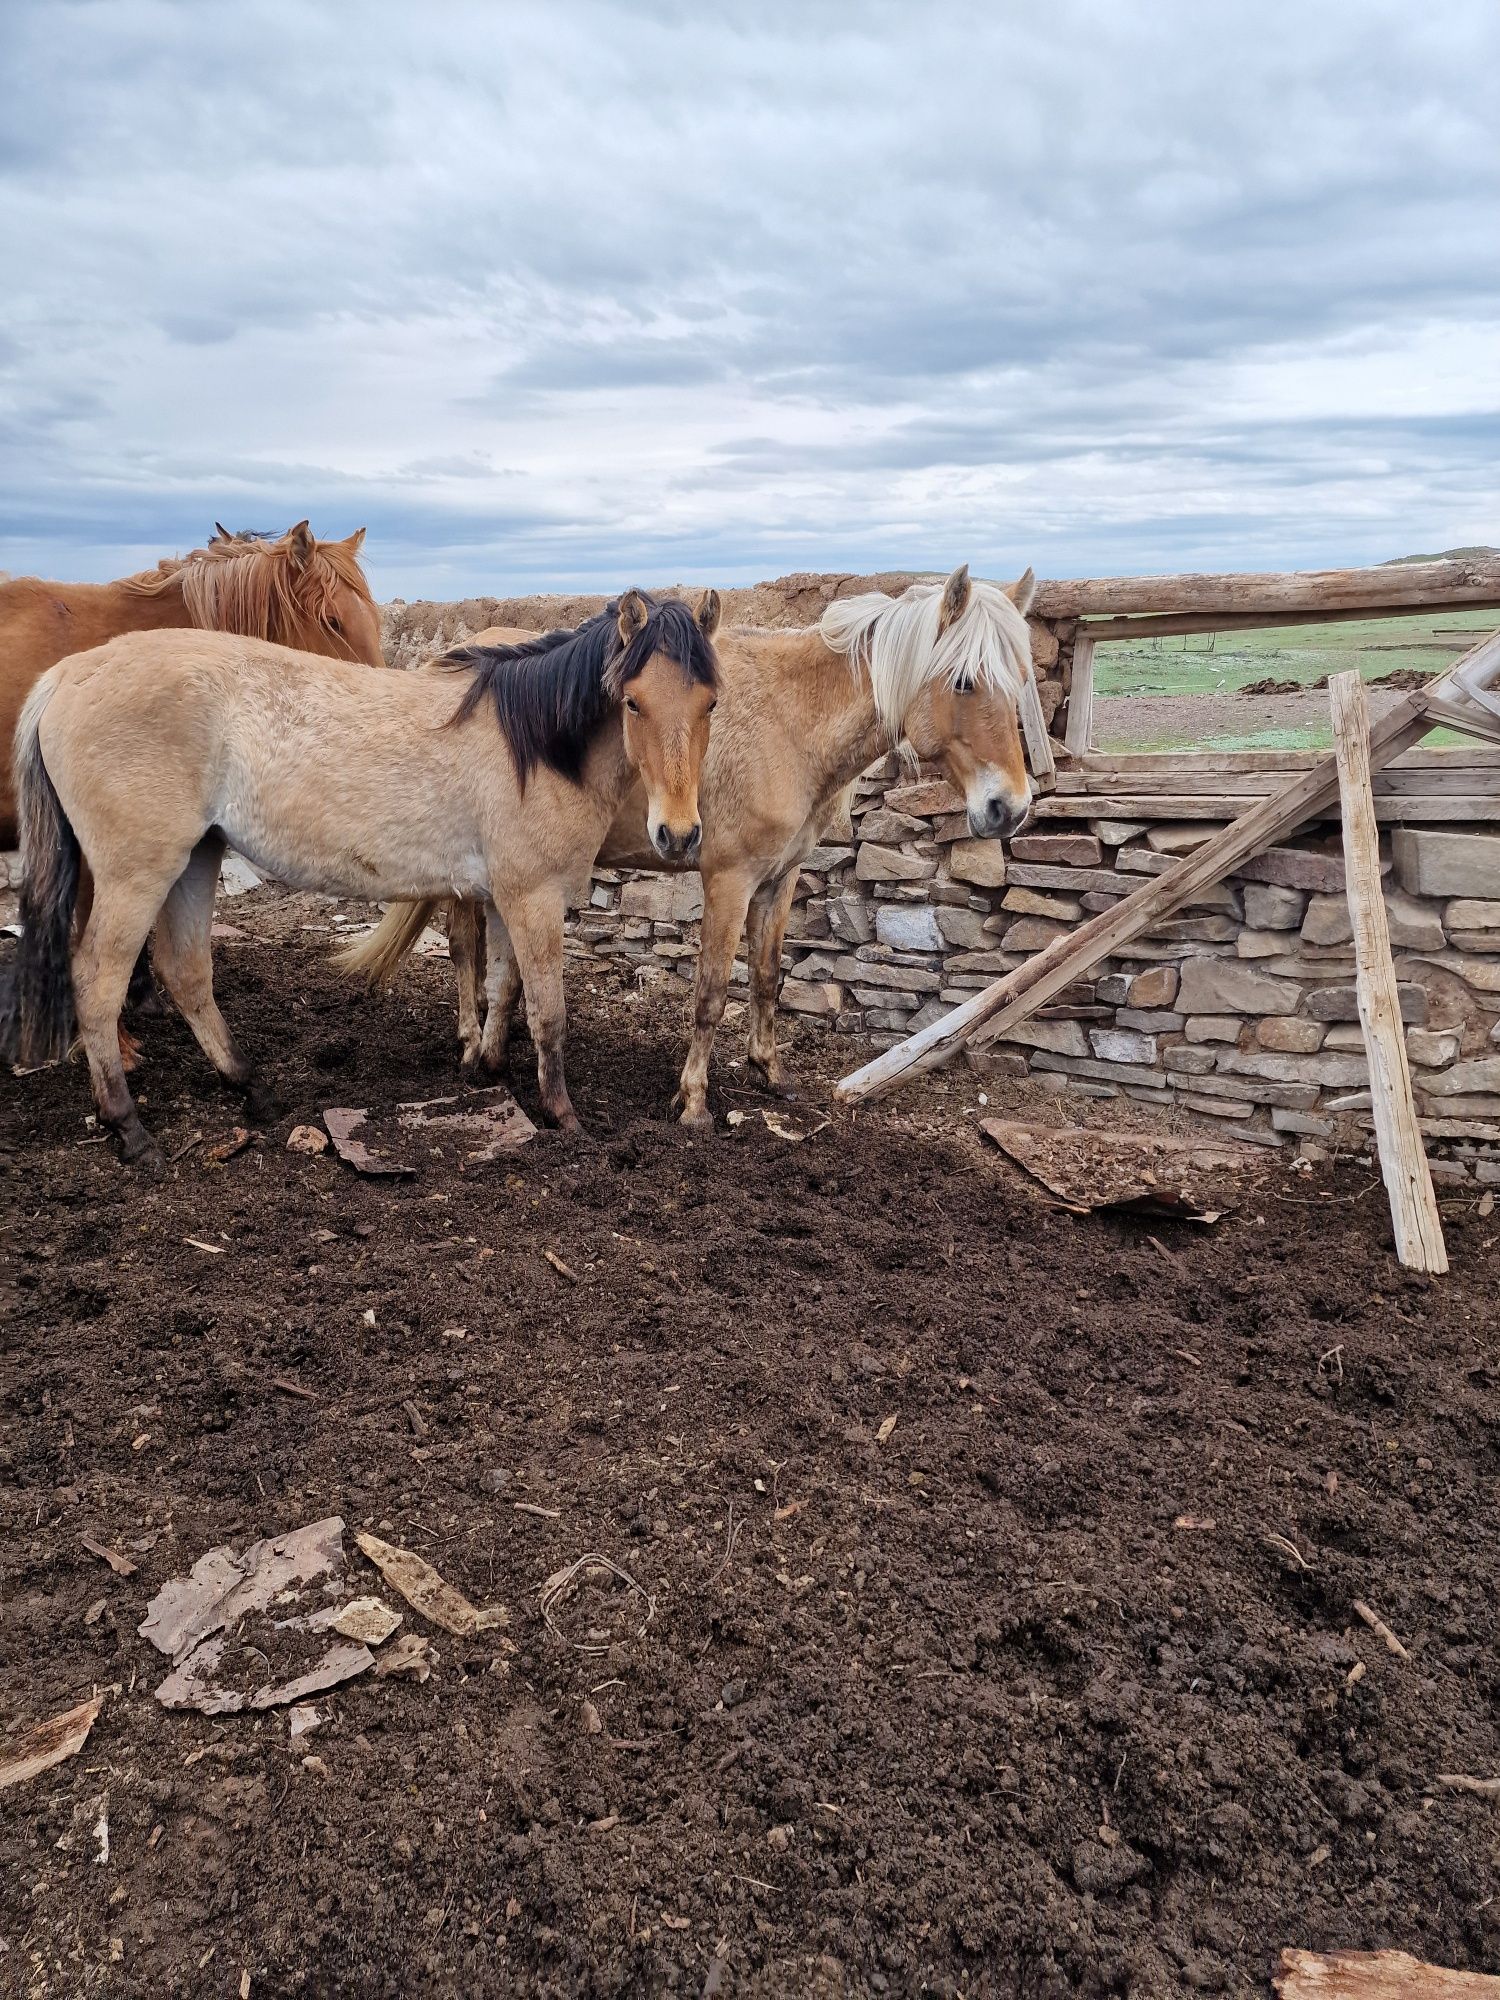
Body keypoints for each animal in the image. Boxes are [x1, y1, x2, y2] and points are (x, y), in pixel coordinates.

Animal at [346, 564, 1040, 1128]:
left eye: (1019, 679)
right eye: (964, 681)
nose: (1009, 807)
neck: (790, 721)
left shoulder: (780, 879)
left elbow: (766, 977)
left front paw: (770, 1071)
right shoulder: (728, 879)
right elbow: (710, 993)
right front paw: (694, 1101)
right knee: (464, 946)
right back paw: (471, 1043)